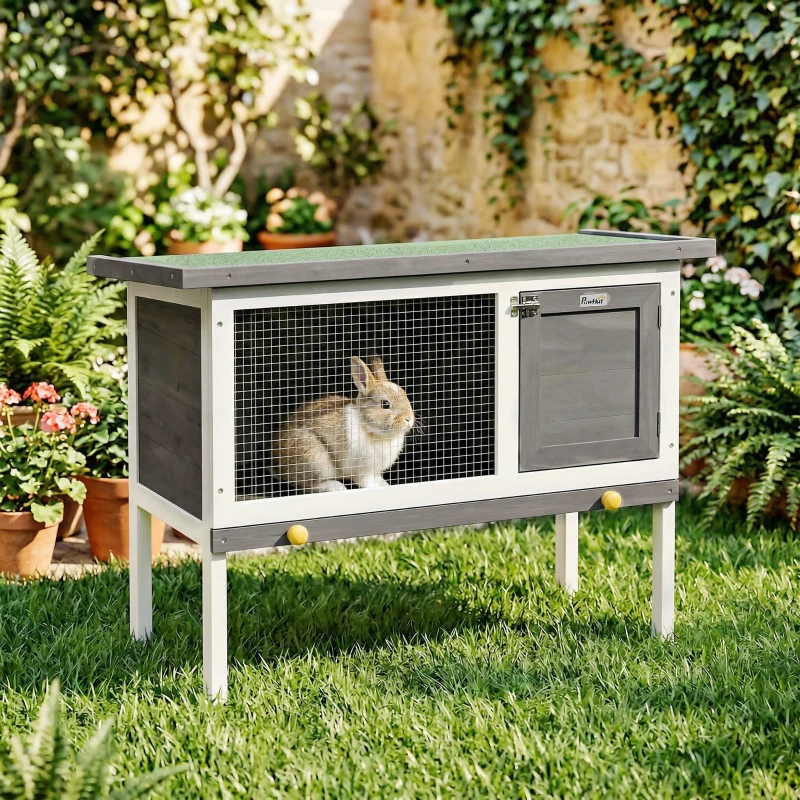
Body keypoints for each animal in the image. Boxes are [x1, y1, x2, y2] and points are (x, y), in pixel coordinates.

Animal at [271, 355, 415, 493]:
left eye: (405, 395)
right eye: (385, 404)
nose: (408, 419)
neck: (369, 428)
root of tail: (278, 466)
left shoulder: (374, 472)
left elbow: (378, 479)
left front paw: (385, 486)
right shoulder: (362, 471)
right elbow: (367, 482)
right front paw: (377, 489)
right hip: (316, 460)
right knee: (307, 485)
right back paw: (336, 487)